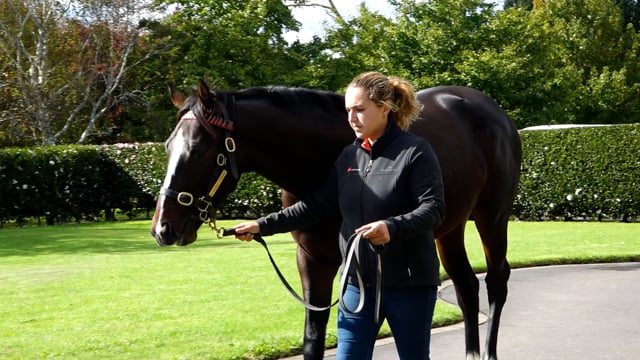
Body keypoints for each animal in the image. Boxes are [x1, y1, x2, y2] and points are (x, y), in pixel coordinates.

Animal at [152, 80, 524, 360]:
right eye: (168, 146)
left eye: (199, 150)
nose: (162, 228)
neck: (319, 160)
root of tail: (492, 111)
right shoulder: (312, 259)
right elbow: (313, 340)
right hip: (450, 228)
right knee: (466, 286)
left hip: (492, 217)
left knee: (496, 281)